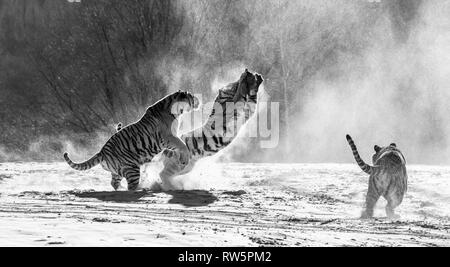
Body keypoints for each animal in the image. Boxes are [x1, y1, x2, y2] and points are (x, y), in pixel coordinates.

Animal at [63, 91, 199, 192]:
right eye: (192, 96)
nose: (198, 99)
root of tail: (101, 152)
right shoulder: (169, 137)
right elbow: (182, 145)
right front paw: (184, 159)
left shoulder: (170, 139)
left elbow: (179, 146)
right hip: (132, 169)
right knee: (131, 187)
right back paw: (143, 188)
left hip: (117, 172)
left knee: (114, 183)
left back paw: (126, 188)